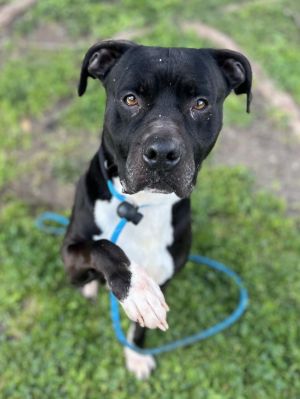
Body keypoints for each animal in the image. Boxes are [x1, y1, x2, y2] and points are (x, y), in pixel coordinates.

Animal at [62, 41, 252, 382]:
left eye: (200, 103)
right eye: (130, 99)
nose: (162, 153)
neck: (139, 206)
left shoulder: (165, 276)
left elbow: (140, 328)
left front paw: (136, 353)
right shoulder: (70, 258)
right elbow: (102, 247)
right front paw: (136, 288)